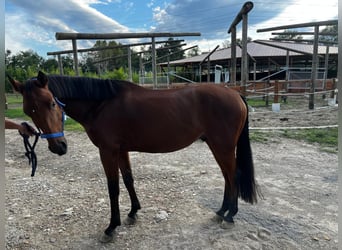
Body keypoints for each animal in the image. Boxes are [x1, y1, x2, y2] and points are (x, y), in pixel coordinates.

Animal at [8, 70, 256, 242]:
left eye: (51, 103)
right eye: (28, 110)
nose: (58, 147)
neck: (101, 104)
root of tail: (235, 93)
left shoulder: (107, 151)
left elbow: (113, 187)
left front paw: (111, 227)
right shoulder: (121, 150)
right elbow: (128, 179)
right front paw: (133, 212)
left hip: (222, 147)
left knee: (233, 176)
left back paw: (230, 216)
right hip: (217, 146)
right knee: (227, 177)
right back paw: (221, 211)